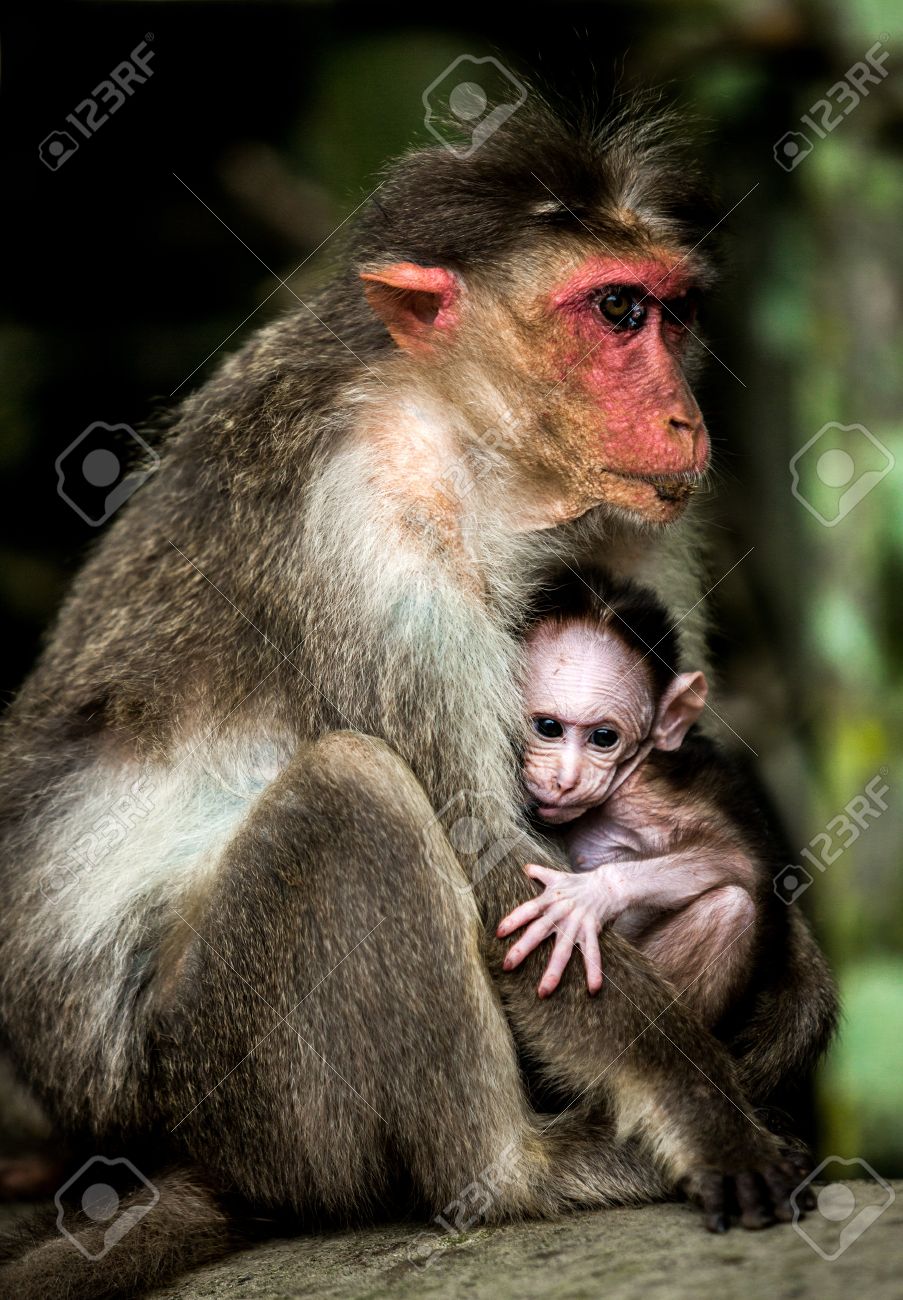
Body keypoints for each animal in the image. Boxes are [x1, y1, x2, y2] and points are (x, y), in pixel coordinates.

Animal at [497, 570, 775, 1030]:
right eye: (548, 728)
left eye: (604, 737)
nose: (567, 779)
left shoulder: (645, 796)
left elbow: (739, 859)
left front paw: (588, 896)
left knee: (730, 910)